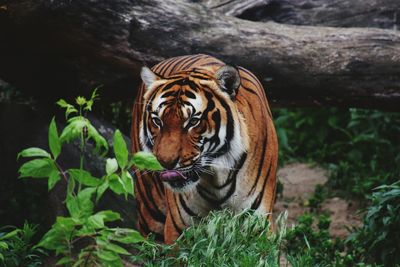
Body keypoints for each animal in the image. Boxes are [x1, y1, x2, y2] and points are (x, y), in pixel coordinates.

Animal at [131, 54, 278, 245]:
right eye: (157, 121)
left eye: (193, 121)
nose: (165, 163)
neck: (216, 178)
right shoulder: (178, 230)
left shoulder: (259, 224)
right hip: (150, 214)